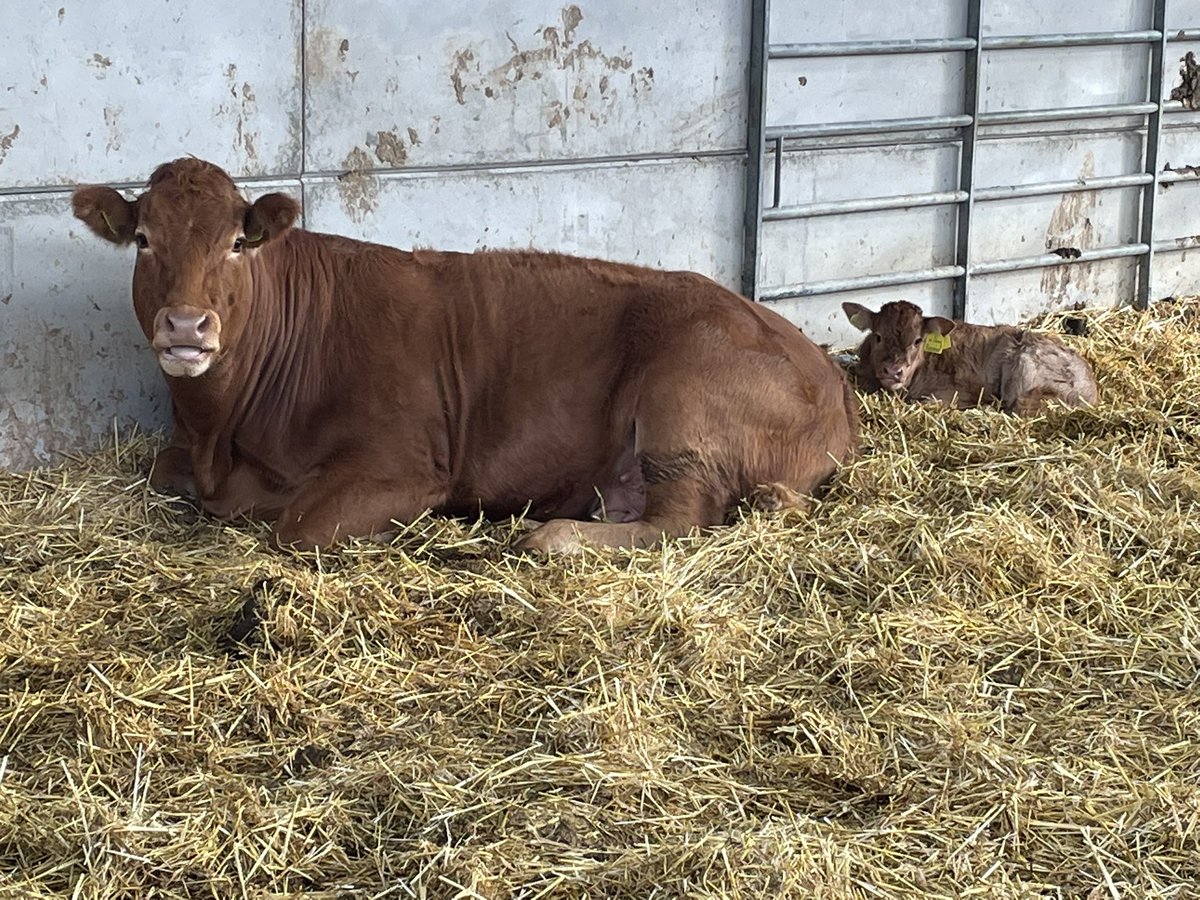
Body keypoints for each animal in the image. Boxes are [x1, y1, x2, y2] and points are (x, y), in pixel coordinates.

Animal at [72, 159, 864, 554]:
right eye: (143, 239)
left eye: (237, 242)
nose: (185, 325)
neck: (224, 429)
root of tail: (828, 375)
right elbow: (164, 470)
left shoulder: (404, 465)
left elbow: (294, 527)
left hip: (683, 393)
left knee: (683, 516)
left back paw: (553, 536)